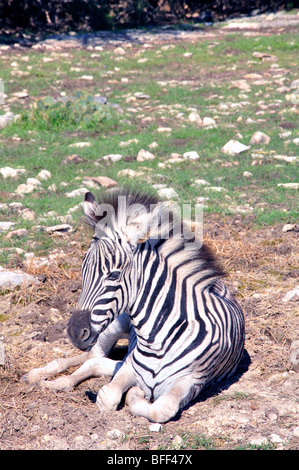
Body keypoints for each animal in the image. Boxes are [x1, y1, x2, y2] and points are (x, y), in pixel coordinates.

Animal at [22, 189, 245, 424]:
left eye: (113, 274)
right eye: (83, 271)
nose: (75, 333)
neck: (156, 341)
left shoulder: (192, 380)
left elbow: (160, 409)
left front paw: (137, 395)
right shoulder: (129, 367)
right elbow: (108, 396)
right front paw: (131, 393)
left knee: (96, 361)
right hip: (112, 327)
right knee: (92, 358)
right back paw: (41, 377)